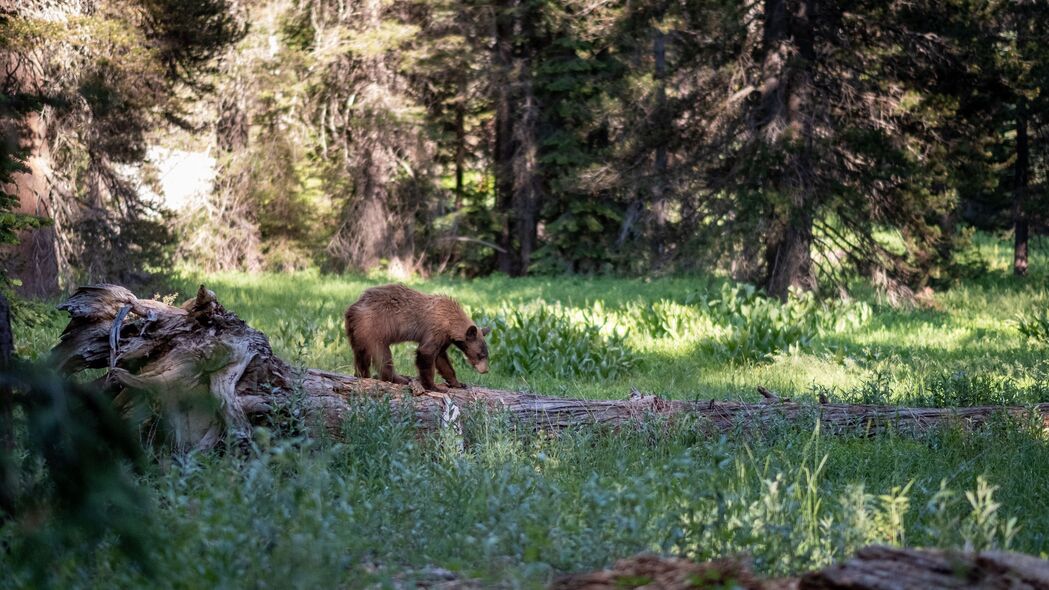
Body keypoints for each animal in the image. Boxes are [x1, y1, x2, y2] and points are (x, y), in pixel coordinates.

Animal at [344, 283, 490, 390]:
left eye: (486, 355)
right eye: (480, 355)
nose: (485, 371)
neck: (450, 320)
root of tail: (353, 308)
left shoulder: (445, 338)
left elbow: (441, 358)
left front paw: (458, 383)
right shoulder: (436, 330)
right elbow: (426, 352)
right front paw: (433, 386)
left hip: (356, 332)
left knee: (360, 355)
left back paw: (362, 375)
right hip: (374, 328)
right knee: (382, 356)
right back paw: (399, 379)